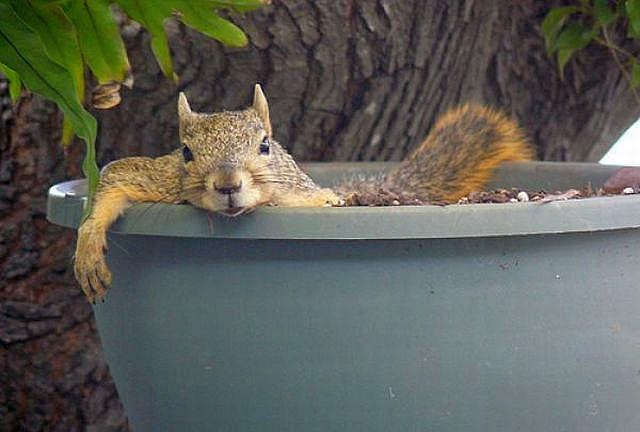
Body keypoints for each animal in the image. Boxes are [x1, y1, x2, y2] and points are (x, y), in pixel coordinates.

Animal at [74, 83, 536, 300]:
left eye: (265, 145)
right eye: (186, 152)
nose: (227, 185)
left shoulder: (301, 193)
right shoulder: (162, 179)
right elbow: (116, 175)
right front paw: (88, 247)